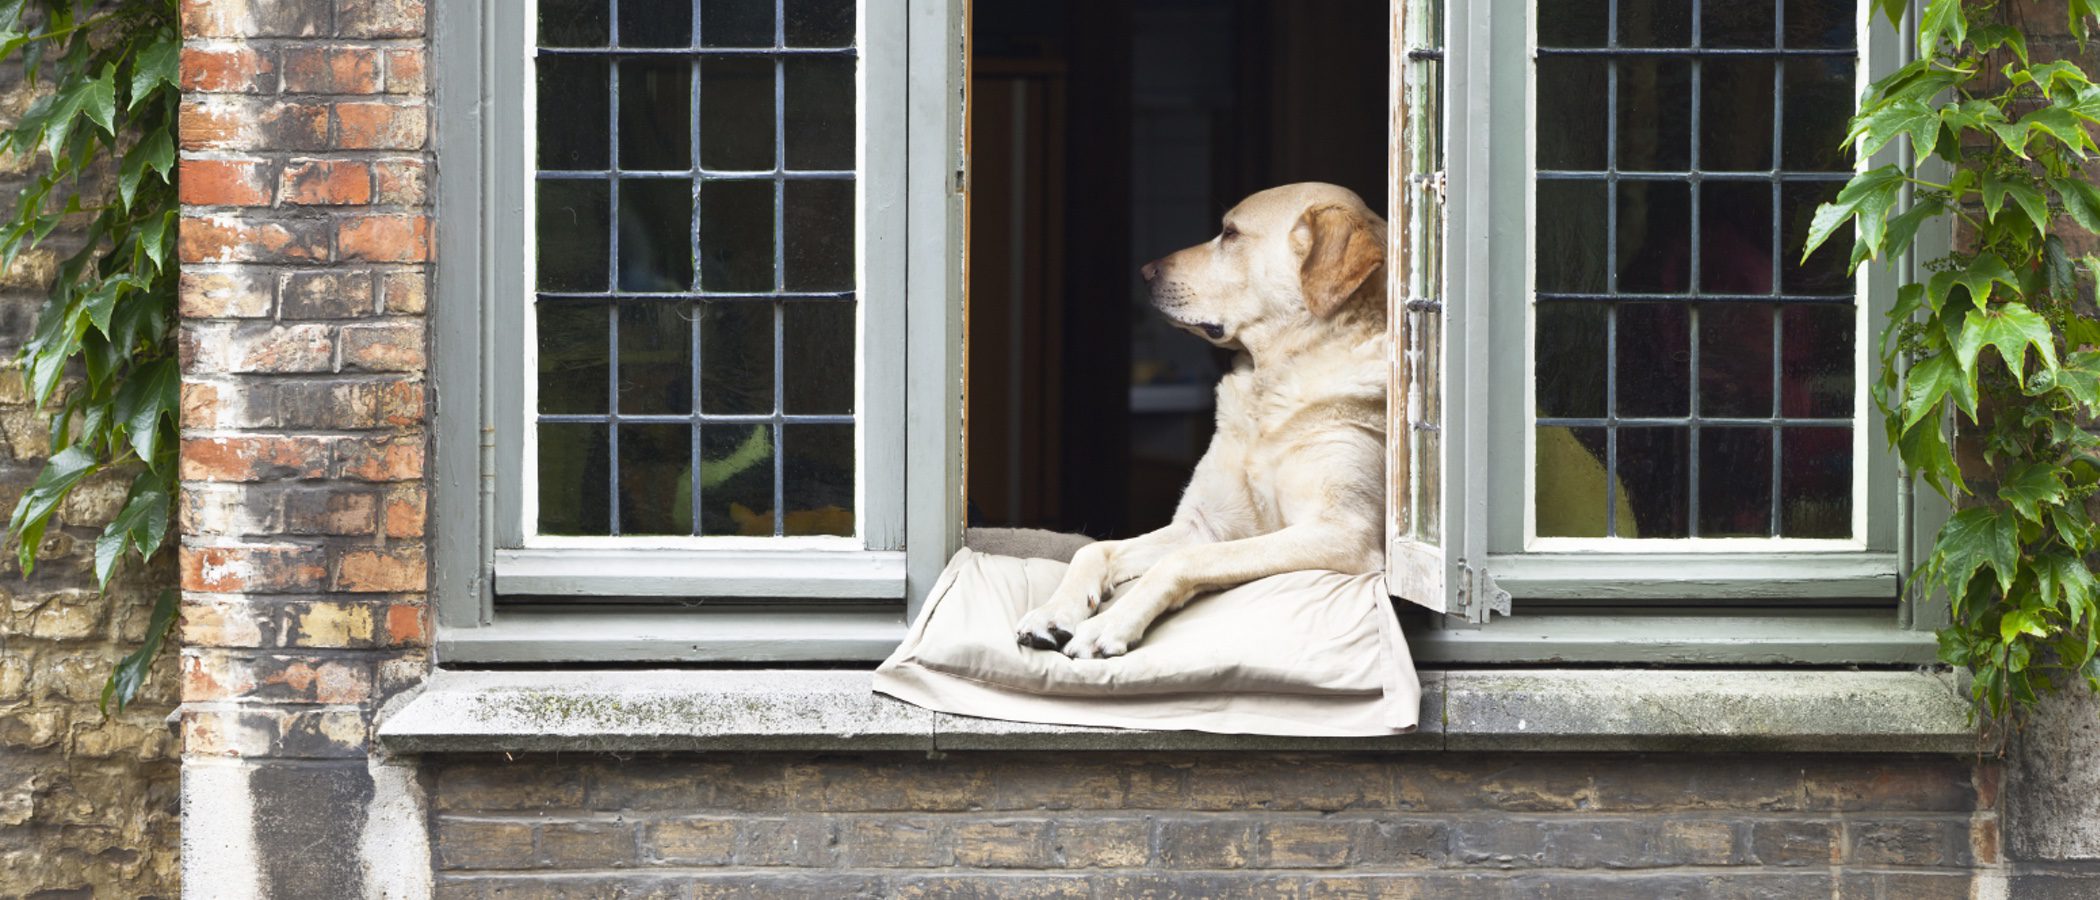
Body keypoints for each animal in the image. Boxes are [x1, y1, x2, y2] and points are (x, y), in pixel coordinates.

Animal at [1020, 182, 1394, 654]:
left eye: (1230, 234)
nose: (1144, 271)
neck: (1270, 386)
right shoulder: (1204, 524)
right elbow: (1094, 550)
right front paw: (1054, 612)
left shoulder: (1344, 532)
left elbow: (1183, 561)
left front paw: (1111, 623)